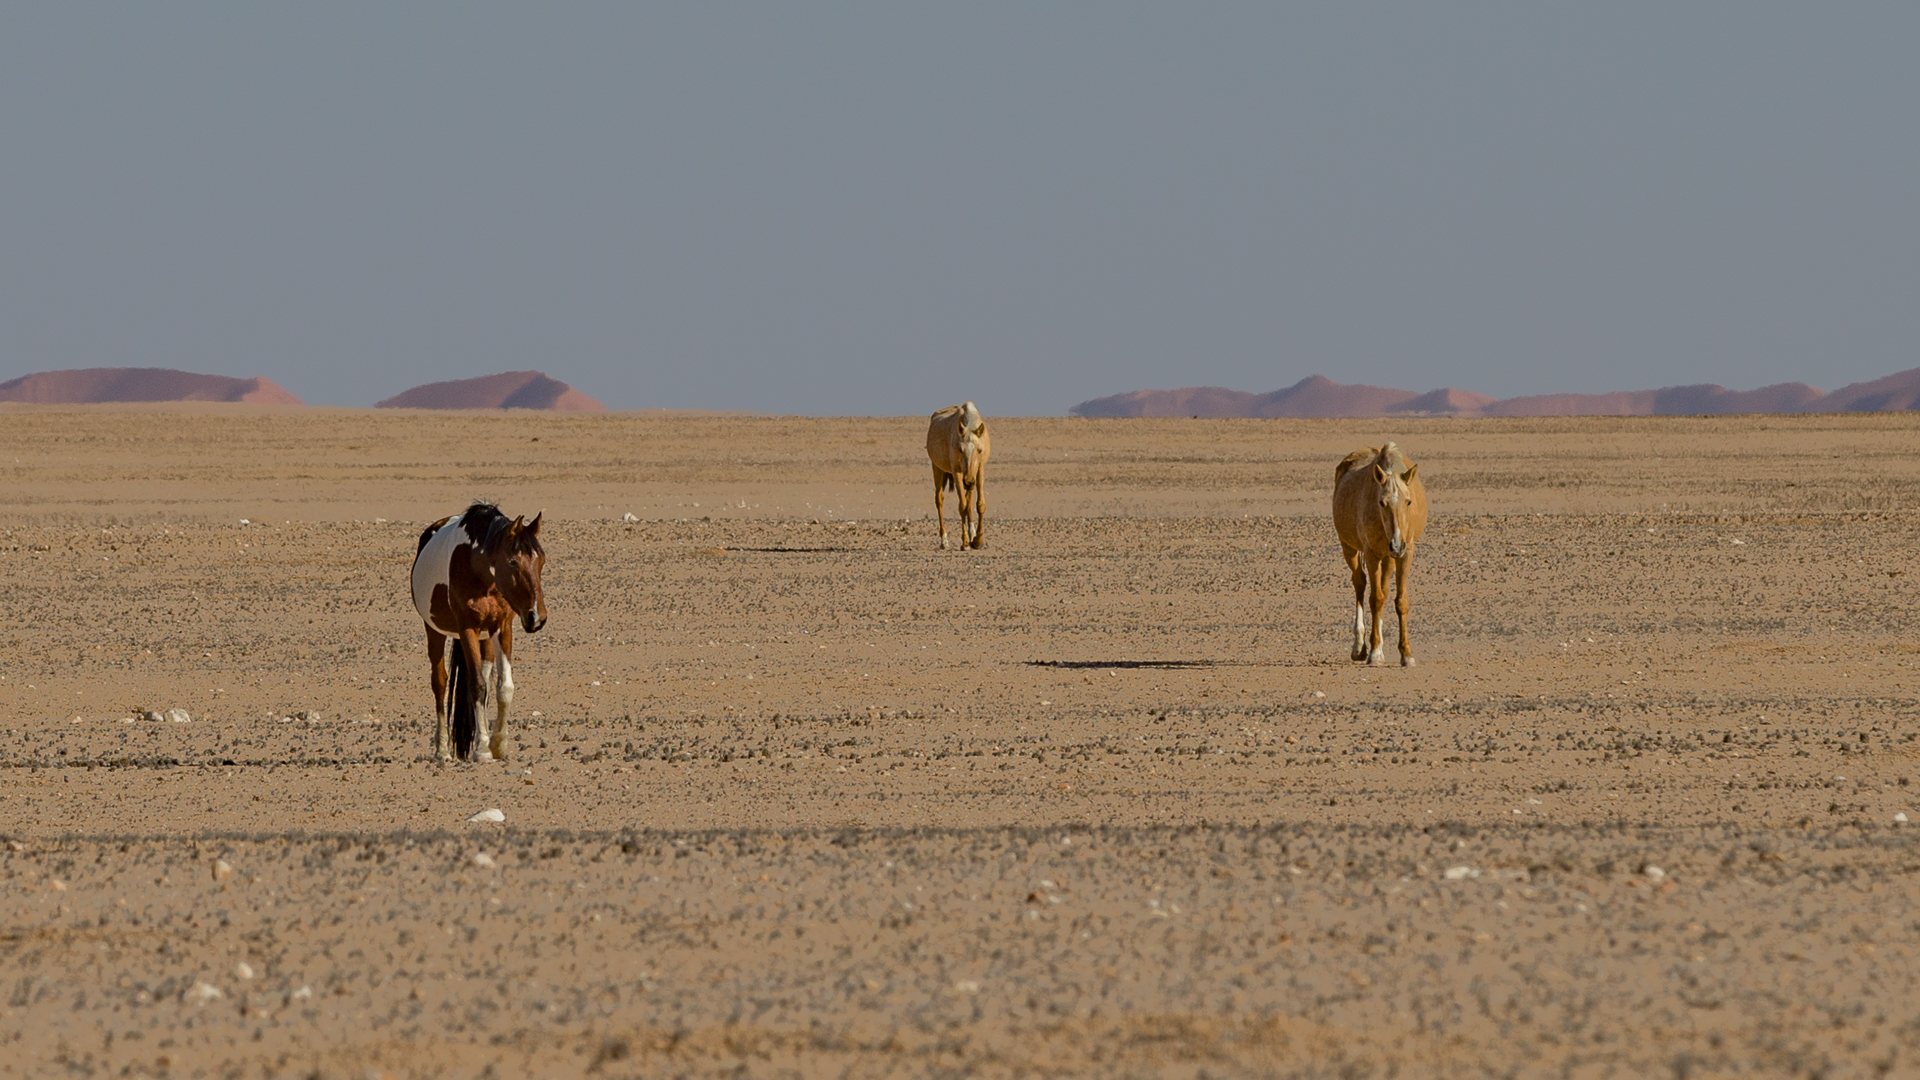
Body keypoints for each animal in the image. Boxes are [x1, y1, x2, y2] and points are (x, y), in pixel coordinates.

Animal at [410, 503, 549, 757]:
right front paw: (483, 748)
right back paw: (442, 750)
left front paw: (498, 744)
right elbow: (476, 685)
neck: (478, 568)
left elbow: (504, 687)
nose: (537, 617)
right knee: (440, 682)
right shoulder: (467, 628)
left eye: (541, 561)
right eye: (513, 562)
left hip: (486, 637)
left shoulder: (502, 626)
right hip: (434, 630)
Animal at [925, 399, 990, 545]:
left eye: (979, 450)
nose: (969, 481)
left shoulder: (979, 470)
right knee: (939, 499)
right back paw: (944, 540)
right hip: (937, 469)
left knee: (968, 501)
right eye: (960, 450)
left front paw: (977, 540)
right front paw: (965, 542)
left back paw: (972, 533)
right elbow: (962, 506)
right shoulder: (957, 473)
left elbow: (979, 504)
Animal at [1336, 443, 1428, 664]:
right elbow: (1375, 599)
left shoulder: (1405, 554)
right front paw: (1375, 652)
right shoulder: (1371, 553)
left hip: (1388, 558)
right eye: (1381, 502)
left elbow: (1400, 601)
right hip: (1349, 548)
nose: (1396, 544)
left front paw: (1406, 654)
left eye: (1408, 502)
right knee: (1360, 584)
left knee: (1383, 589)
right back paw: (1360, 647)